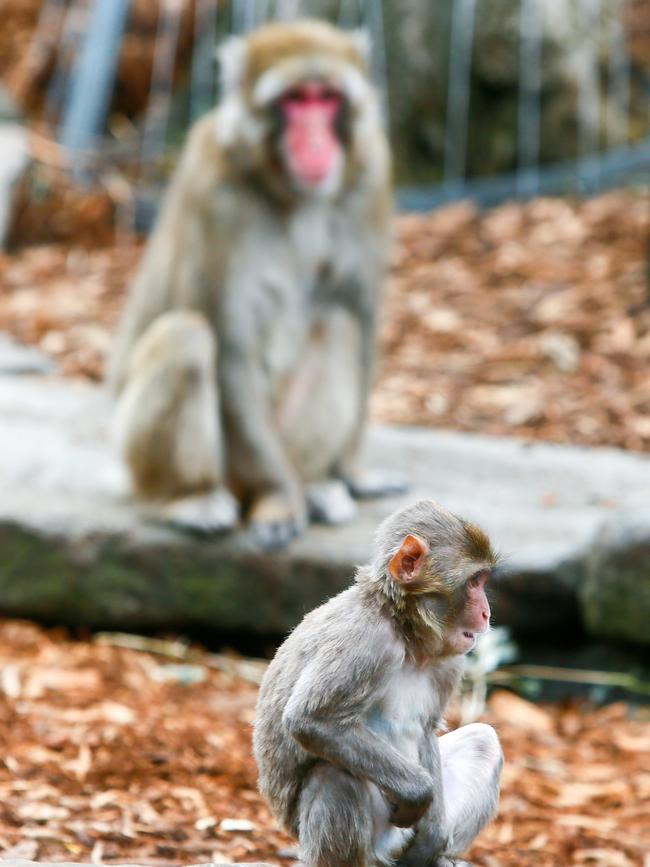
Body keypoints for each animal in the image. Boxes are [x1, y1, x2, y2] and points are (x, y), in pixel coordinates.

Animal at [107, 18, 402, 548]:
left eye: (327, 98)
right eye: (295, 100)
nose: (316, 142)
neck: (288, 189)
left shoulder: (371, 174)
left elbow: (363, 318)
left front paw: (353, 473)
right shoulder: (213, 188)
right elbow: (229, 346)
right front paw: (279, 499)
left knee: (340, 325)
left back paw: (316, 483)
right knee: (186, 336)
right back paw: (192, 498)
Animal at [253, 498, 502, 867]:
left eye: (483, 581)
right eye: (474, 582)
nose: (486, 613)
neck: (406, 634)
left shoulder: (450, 663)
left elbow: (426, 728)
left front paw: (433, 837)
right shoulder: (366, 641)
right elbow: (310, 720)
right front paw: (419, 792)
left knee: (484, 740)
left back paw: (439, 857)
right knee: (334, 774)